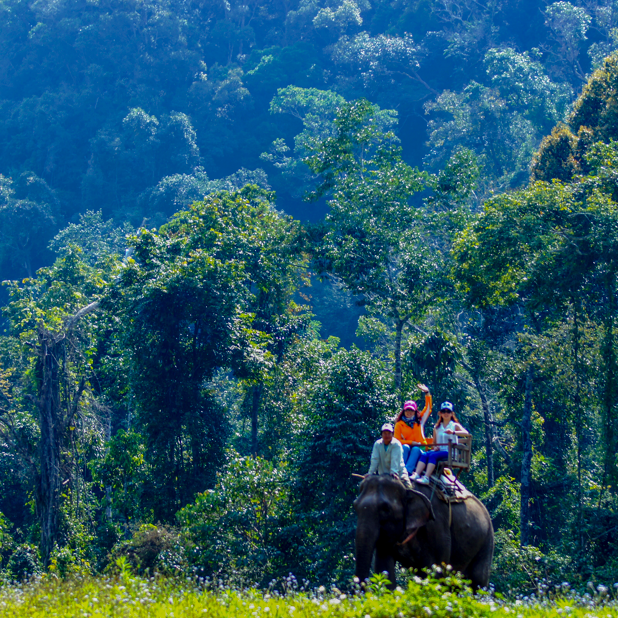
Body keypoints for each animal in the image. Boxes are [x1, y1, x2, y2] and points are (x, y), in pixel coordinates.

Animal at [354, 474, 494, 588]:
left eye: (386, 509)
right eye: (355, 505)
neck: (407, 487)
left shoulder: (436, 525)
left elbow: (434, 570)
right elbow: (384, 568)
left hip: (486, 540)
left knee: (477, 580)